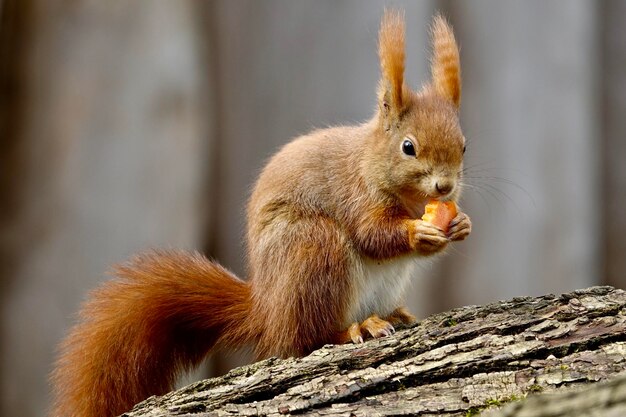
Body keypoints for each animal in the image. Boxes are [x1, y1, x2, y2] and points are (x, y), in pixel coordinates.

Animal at [48, 9, 468, 416]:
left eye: (464, 145)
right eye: (408, 147)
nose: (445, 187)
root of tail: (266, 309)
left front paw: (461, 224)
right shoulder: (355, 194)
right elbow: (372, 234)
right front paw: (418, 233)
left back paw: (392, 315)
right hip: (312, 251)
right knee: (305, 340)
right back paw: (354, 329)